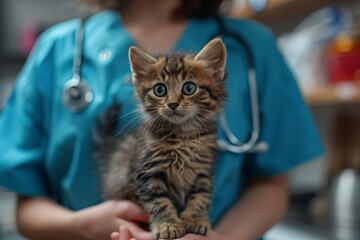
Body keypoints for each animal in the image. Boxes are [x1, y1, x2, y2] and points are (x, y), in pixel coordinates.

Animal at [94, 38, 226, 239]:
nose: (172, 104)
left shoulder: (203, 170)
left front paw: (195, 219)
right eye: (160, 90)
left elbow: (200, 197)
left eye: (189, 88)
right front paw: (167, 224)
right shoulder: (147, 172)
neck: (182, 135)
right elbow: (159, 202)